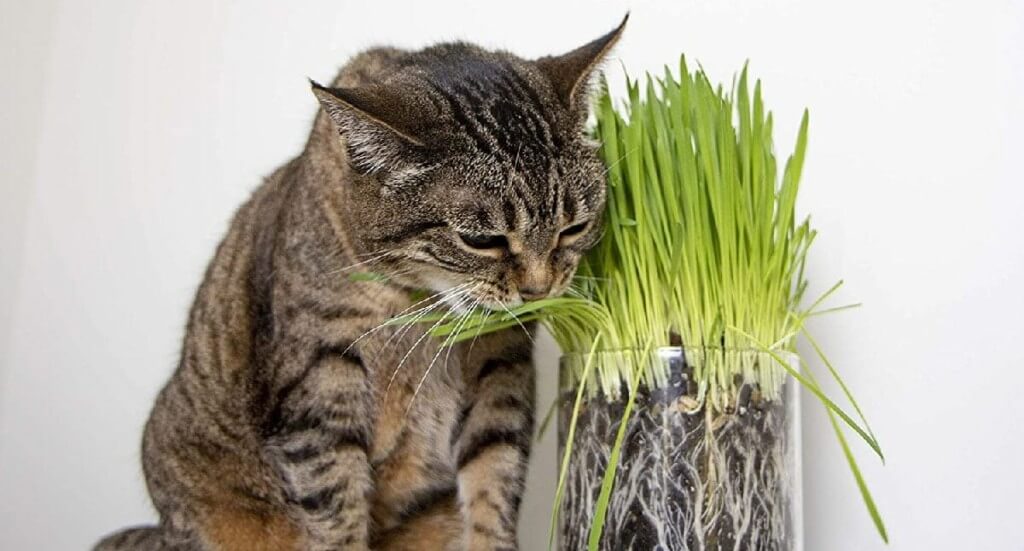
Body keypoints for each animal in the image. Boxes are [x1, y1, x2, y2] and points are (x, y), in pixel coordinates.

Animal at [96, 14, 622, 544]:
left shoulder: (501, 364)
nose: (539, 289)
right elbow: (334, 503)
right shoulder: (319, 376)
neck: (421, 306)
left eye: (574, 227)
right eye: (482, 240)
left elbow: (494, 479)